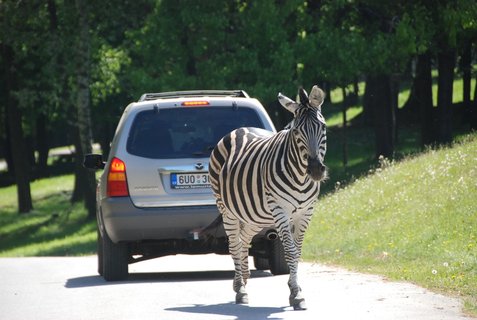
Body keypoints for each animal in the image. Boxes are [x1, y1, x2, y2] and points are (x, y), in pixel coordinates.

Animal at [209, 85, 328, 310]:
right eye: (296, 131)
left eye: (323, 127)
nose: (316, 170)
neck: (300, 177)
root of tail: (240, 129)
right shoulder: (281, 210)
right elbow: (290, 251)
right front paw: (296, 294)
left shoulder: (306, 212)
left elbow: (298, 251)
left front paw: (294, 288)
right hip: (227, 209)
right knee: (234, 244)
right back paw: (240, 288)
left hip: (255, 216)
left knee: (244, 239)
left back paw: (244, 277)